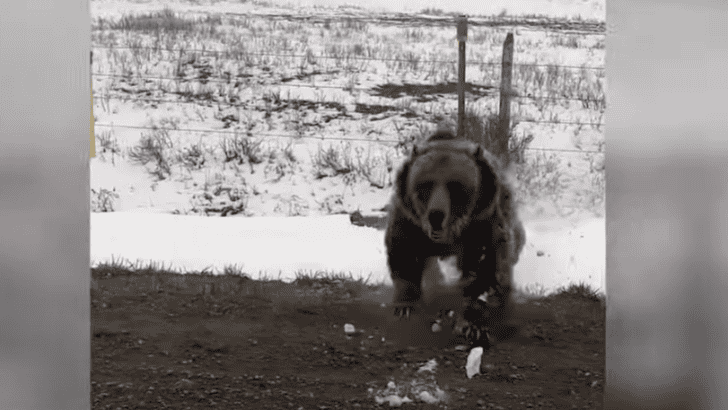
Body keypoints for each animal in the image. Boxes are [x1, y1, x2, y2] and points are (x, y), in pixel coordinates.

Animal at [384, 130, 526, 347]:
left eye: (456, 186)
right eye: (425, 184)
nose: (436, 215)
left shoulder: (481, 223)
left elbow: (486, 268)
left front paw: (475, 325)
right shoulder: (410, 221)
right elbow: (404, 254)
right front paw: (405, 306)